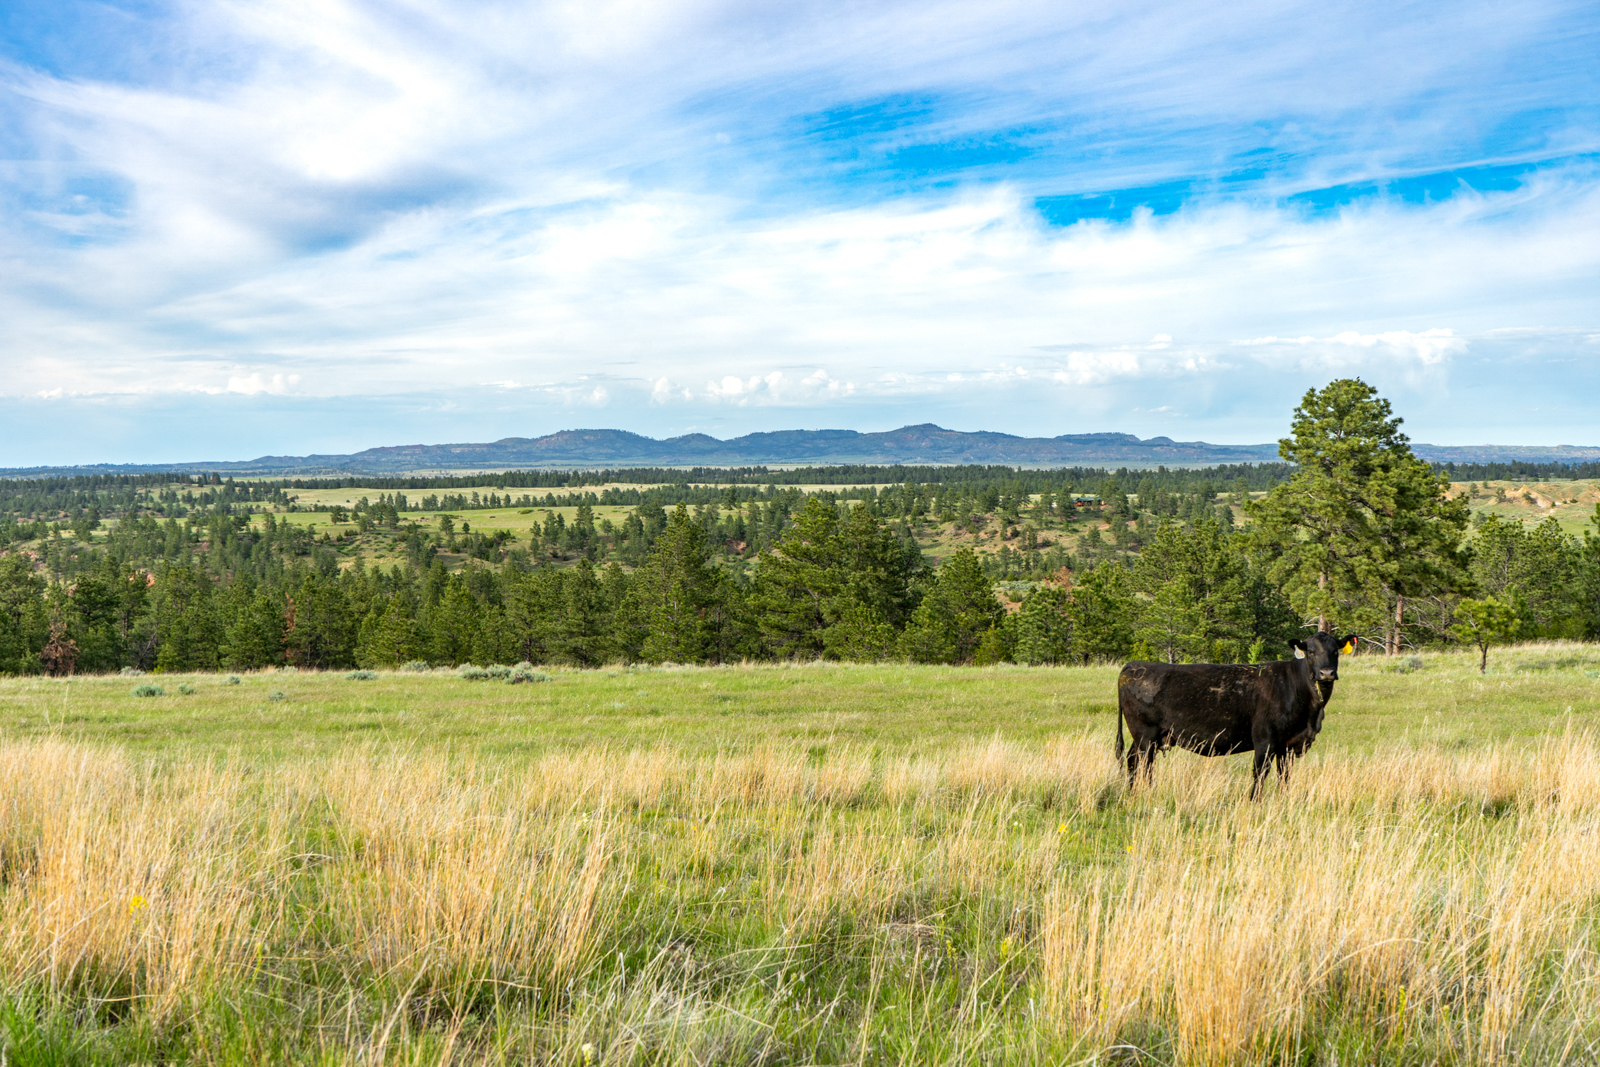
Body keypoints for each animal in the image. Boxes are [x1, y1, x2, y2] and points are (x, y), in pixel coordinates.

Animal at [1115, 631, 1356, 798]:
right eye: (1311, 651)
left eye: (1335, 651)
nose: (1326, 673)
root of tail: (1133, 666)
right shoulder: (1265, 741)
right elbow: (1259, 774)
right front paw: (1254, 802)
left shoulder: (1288, 745)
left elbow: (1284, 777)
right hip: (1146, 735)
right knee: (1144, 764)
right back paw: (1146, 792)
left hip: (1146, 738)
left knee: (1132, 760)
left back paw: (1132, 792)